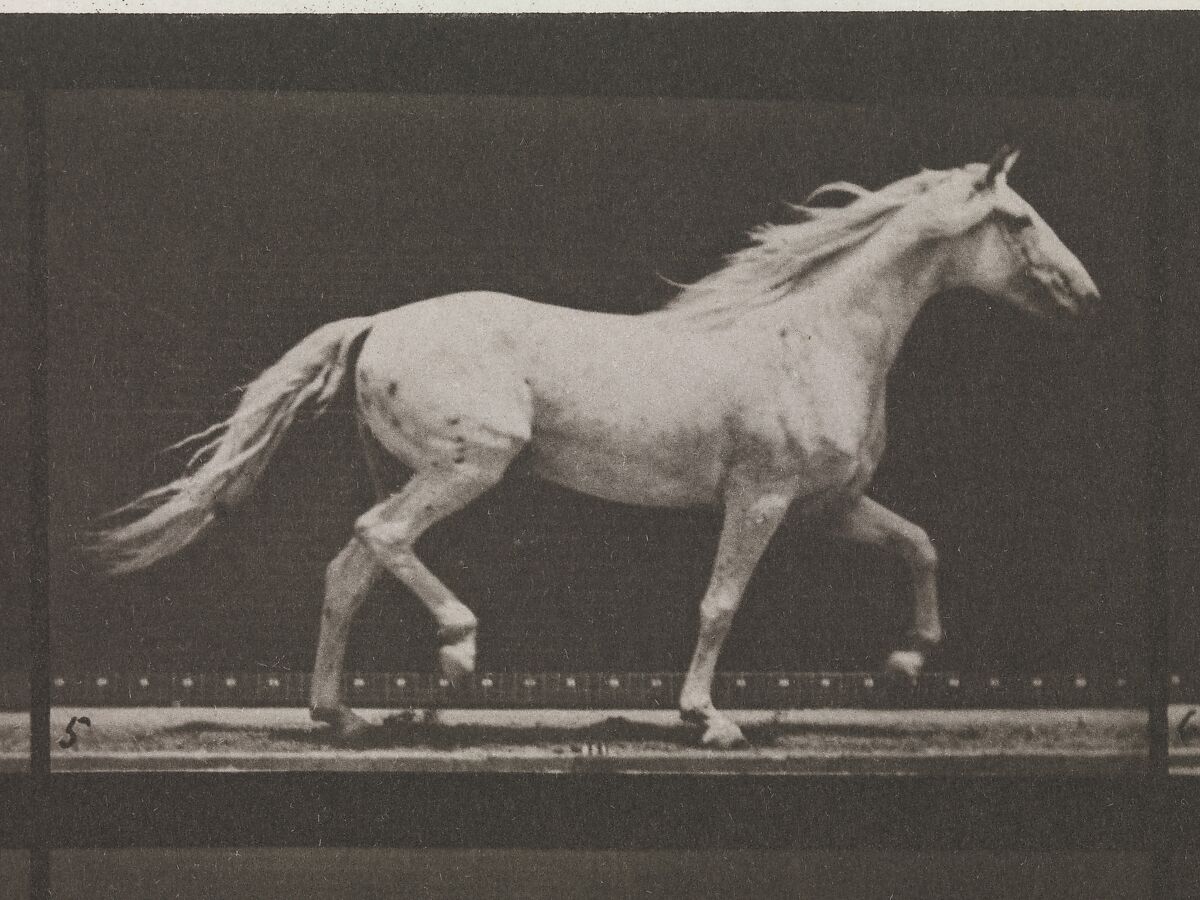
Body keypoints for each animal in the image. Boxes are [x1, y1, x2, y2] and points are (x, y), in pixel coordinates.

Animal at [88, 147, 1100, 748]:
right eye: (1016, 221)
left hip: (421, 471)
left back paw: (340, 713)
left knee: (348, 569)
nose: (1085, 296)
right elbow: (720, 605)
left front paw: (906, 664)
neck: (814, 338)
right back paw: (456, 652)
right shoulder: (763, 499)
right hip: (470, 463)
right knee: (382, 538)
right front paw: (707, 720)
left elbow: (921, 544)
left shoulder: (830, 506)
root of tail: (377, 324)